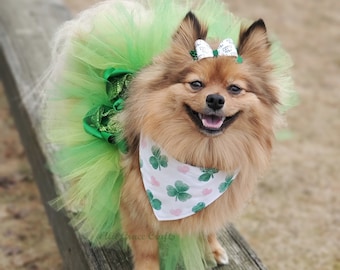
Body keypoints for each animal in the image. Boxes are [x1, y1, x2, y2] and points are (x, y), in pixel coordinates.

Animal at [41, 0, 292, 270]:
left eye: (234, 89)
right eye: (196, 84)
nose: (215, 99)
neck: (202, 154)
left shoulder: (213, 202)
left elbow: (208, 226)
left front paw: (211, 249)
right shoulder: (135, 202)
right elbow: (147, 248)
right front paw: (149, 267)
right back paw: (77, 202)